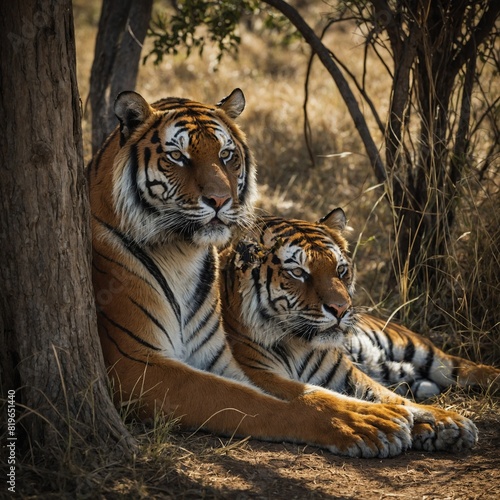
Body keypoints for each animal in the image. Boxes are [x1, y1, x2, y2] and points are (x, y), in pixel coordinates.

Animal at [87, 88, 438, 458]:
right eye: (178, 156)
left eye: (226, 154)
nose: (220, 200)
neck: (182, 252)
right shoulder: (135, 365)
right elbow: (258, 403)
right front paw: (368, 422)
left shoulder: (219, 360)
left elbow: (308, 389)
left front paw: (419, 416)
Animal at [222, 207, 496, 454]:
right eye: (298, 272)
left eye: (340, 270)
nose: (340, 309)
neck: (298, 343)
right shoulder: (258, 372)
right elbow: (316, 395)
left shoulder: (349, 378)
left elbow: (391, 398)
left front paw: (447, 421)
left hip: (416, 348)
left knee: (466, 367)